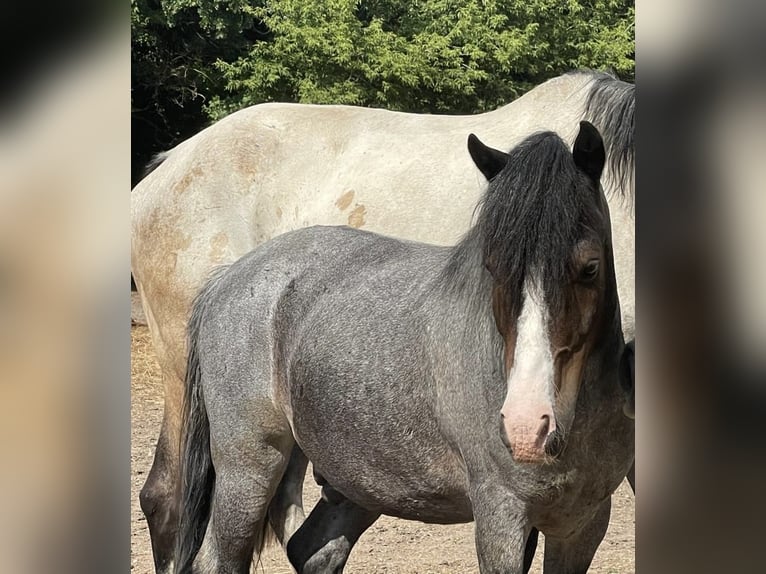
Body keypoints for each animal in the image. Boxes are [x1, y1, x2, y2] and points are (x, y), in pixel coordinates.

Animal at [132, 70, 636, 572]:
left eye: (590, 267)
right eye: (491, 266)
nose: (528, 425)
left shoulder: (583, 521)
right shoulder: (502, 512)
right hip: (244, 458)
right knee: (180, 516)